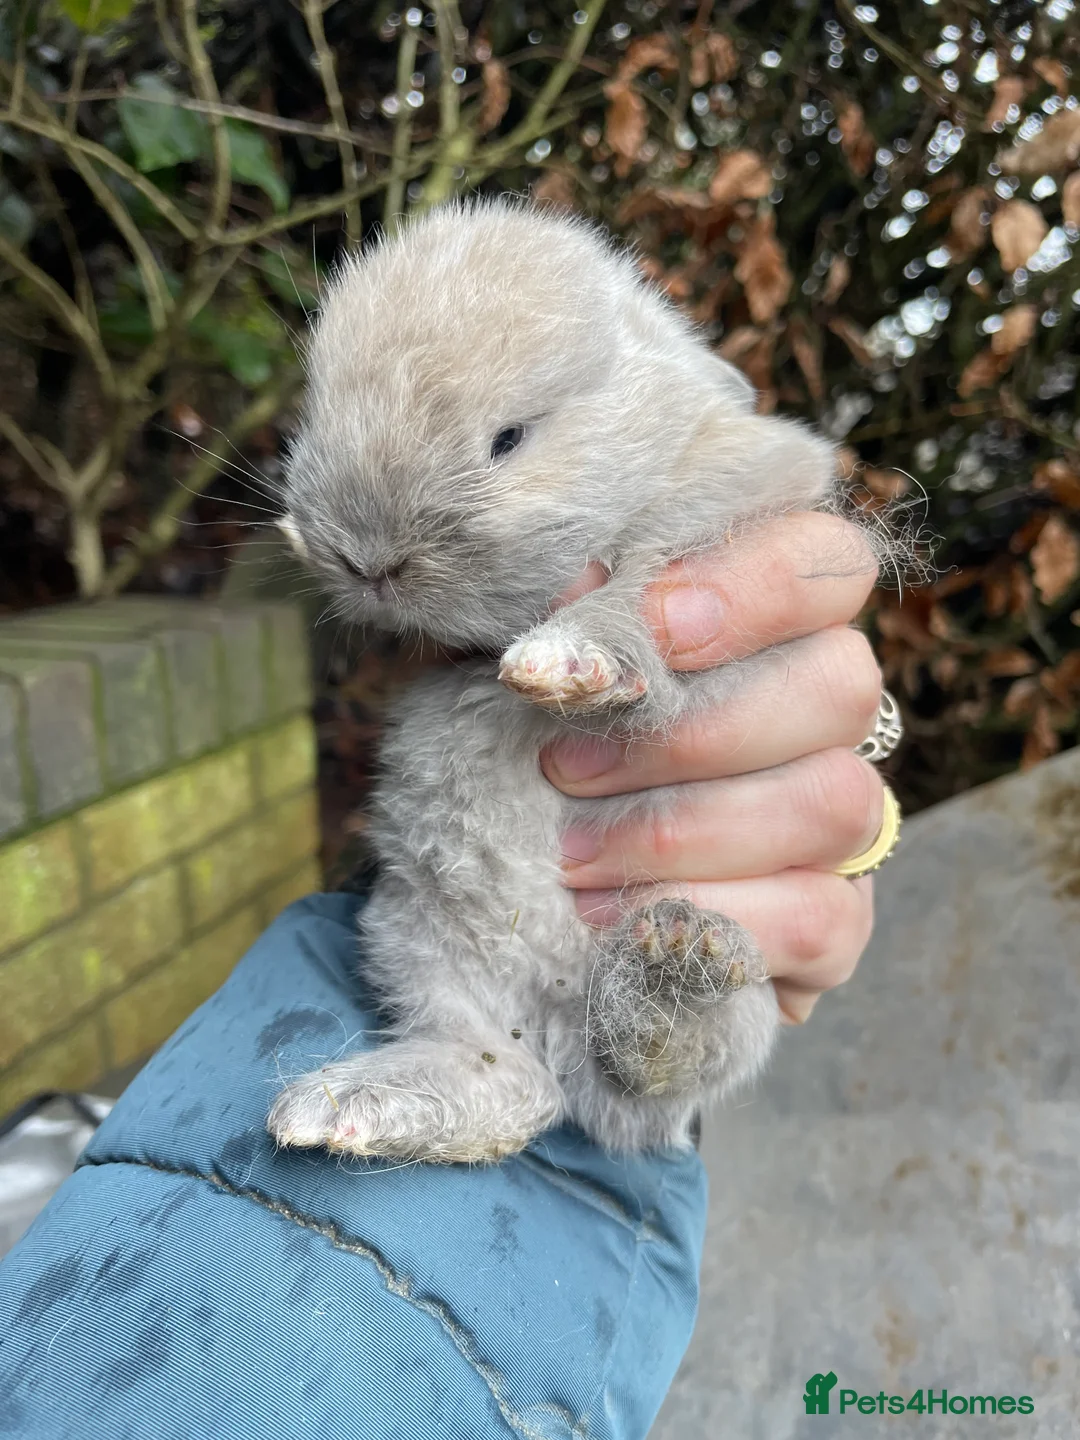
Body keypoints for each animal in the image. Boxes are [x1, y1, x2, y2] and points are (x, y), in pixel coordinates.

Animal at [267, 196, 841, 1160]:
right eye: (319, 413)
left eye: (509, 438)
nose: (366, 559)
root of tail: (554, 1021)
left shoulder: (722, 504)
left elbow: (643, 577)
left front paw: (569, 661)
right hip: (412, 937)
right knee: (505, 1082)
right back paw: (338, 1109)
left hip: (738, 1004)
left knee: (656, 1071)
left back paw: (676, 971)